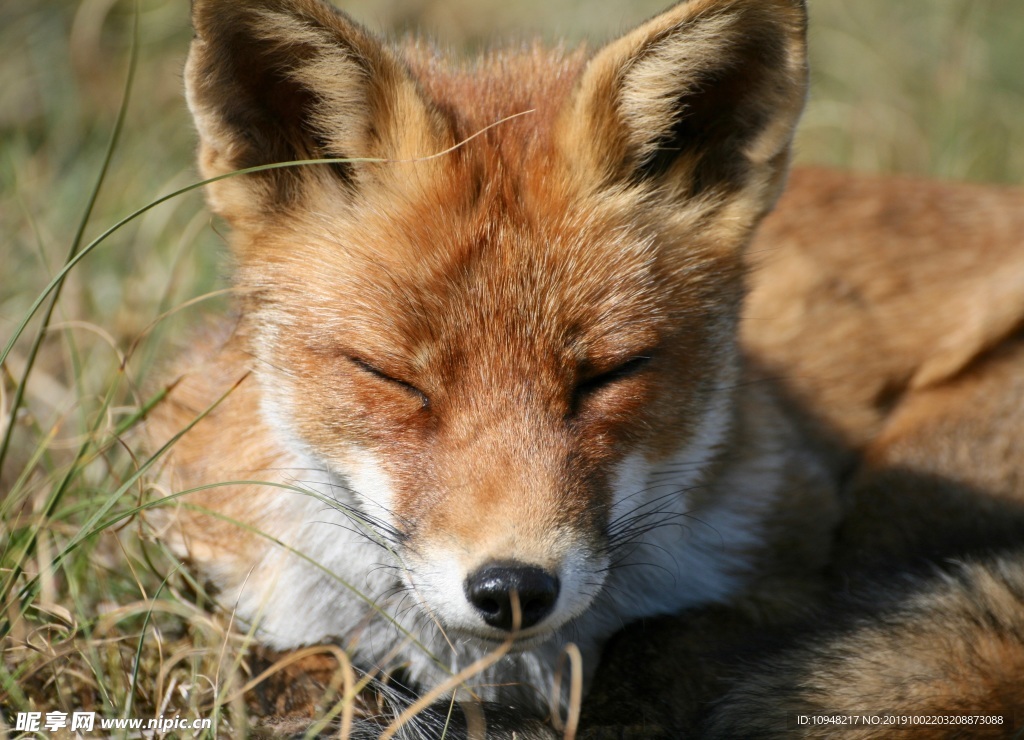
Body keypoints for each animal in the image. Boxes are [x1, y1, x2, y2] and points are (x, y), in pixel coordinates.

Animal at [146, 0, 1024, 736]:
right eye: (391, 376)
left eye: (610, 374)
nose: (512, 590)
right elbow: (303, 667)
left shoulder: (790, 562)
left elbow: (663, 644)